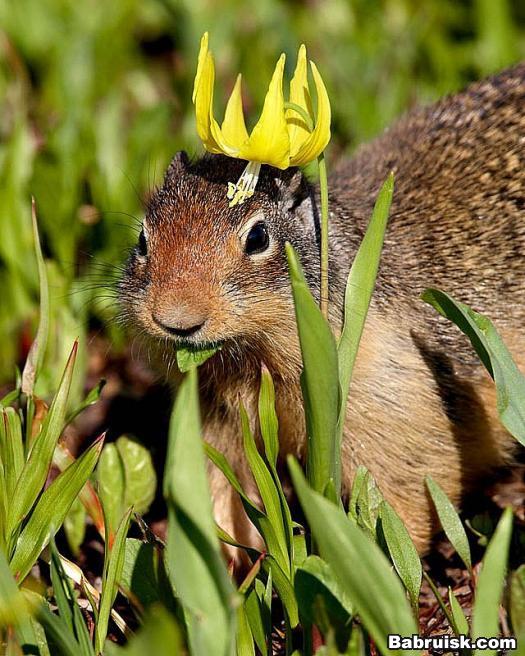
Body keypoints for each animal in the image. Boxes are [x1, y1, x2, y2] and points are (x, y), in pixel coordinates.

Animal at [120, 63, 525, 557]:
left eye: (258, 238)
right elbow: (219, 493)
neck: (254, 364)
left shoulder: (395, 412)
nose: (175, 320)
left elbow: (401, 506)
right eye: (143, 239)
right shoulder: (217, 424)